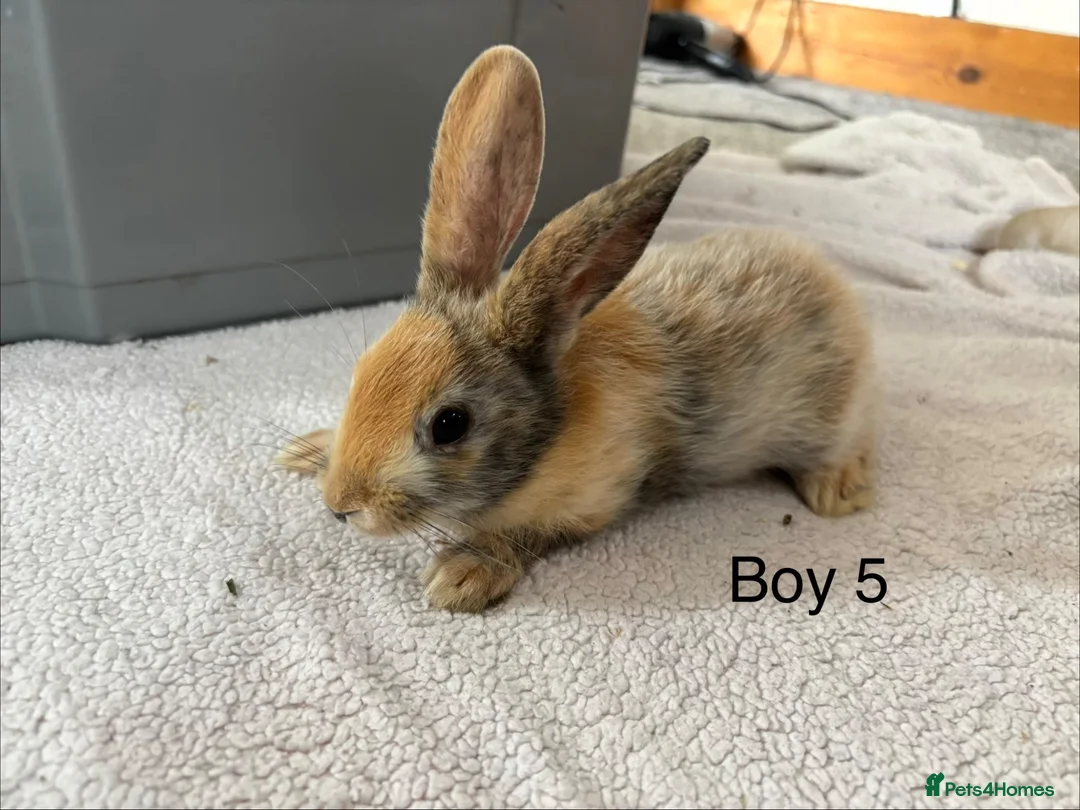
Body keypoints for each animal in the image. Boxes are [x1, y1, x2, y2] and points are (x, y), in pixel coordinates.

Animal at [277, 45, 877, 613]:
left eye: (449, 425)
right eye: (361, 375)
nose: (340, 505)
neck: (550, 430)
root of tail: (831, 282)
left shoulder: (596, 496)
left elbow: (526, 535)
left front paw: (462, 575)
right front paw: (306, 451)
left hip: (821, 417)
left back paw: (837, 491)